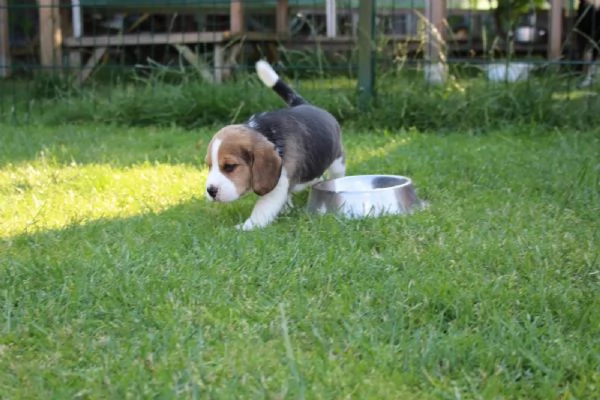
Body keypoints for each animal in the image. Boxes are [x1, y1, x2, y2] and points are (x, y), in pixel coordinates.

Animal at [206, 59, 346, 230]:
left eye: (230, 166)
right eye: (209, 166)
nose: (210, 190)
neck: (266, 134)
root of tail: (307, 105)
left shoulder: (278, 186)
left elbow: (262, 208)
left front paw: (247, 227)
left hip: (338, 162)